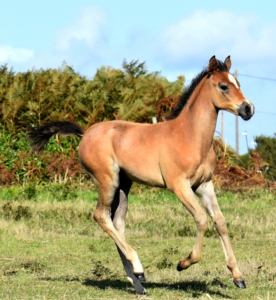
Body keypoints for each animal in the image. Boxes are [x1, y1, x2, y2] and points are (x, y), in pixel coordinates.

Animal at [29, 55, 254, 292]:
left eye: (238, 84)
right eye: (223, 86)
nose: (248, 109)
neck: (189, 136)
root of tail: (86, 133)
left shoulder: (204, 185)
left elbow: (220, 221)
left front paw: (238, 276)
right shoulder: (179, 185)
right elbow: (201, 220)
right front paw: (183, 263)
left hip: (123, 185)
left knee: (117, 223)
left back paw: (137, 281)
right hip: (107, 180)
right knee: (101, 216)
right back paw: (138, 269)